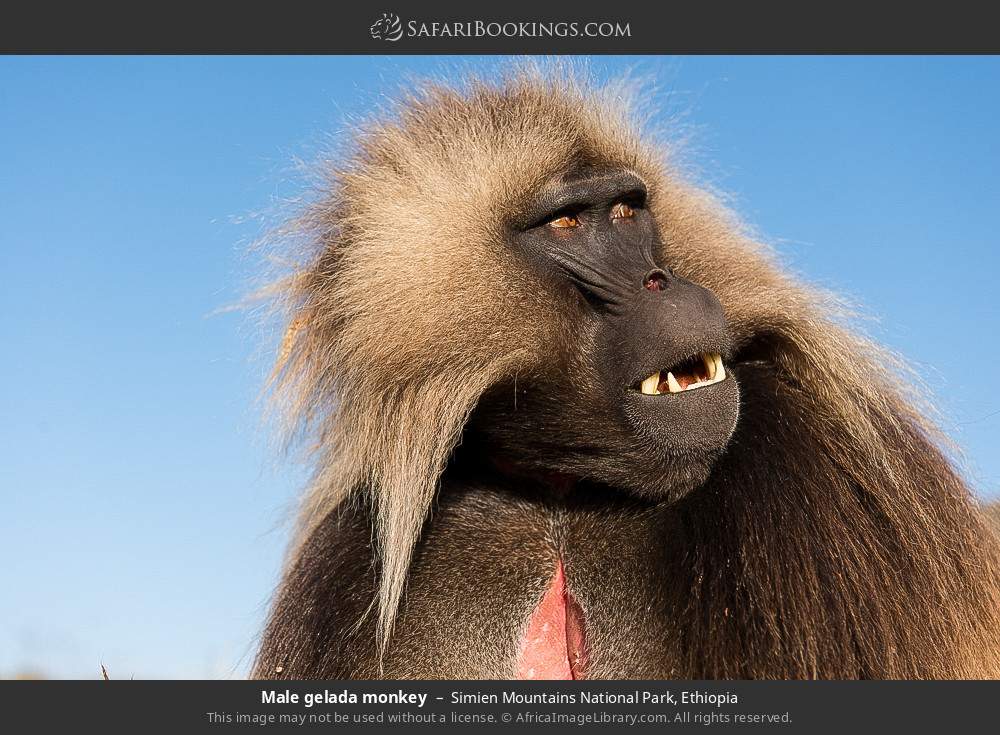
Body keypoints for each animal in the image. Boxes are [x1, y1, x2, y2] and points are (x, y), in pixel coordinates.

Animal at [252, 69, 1000, 680]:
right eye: (564, 224)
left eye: (624, 210)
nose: (662, 283)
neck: (561, 486)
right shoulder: (349, 559)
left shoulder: (813, 470)